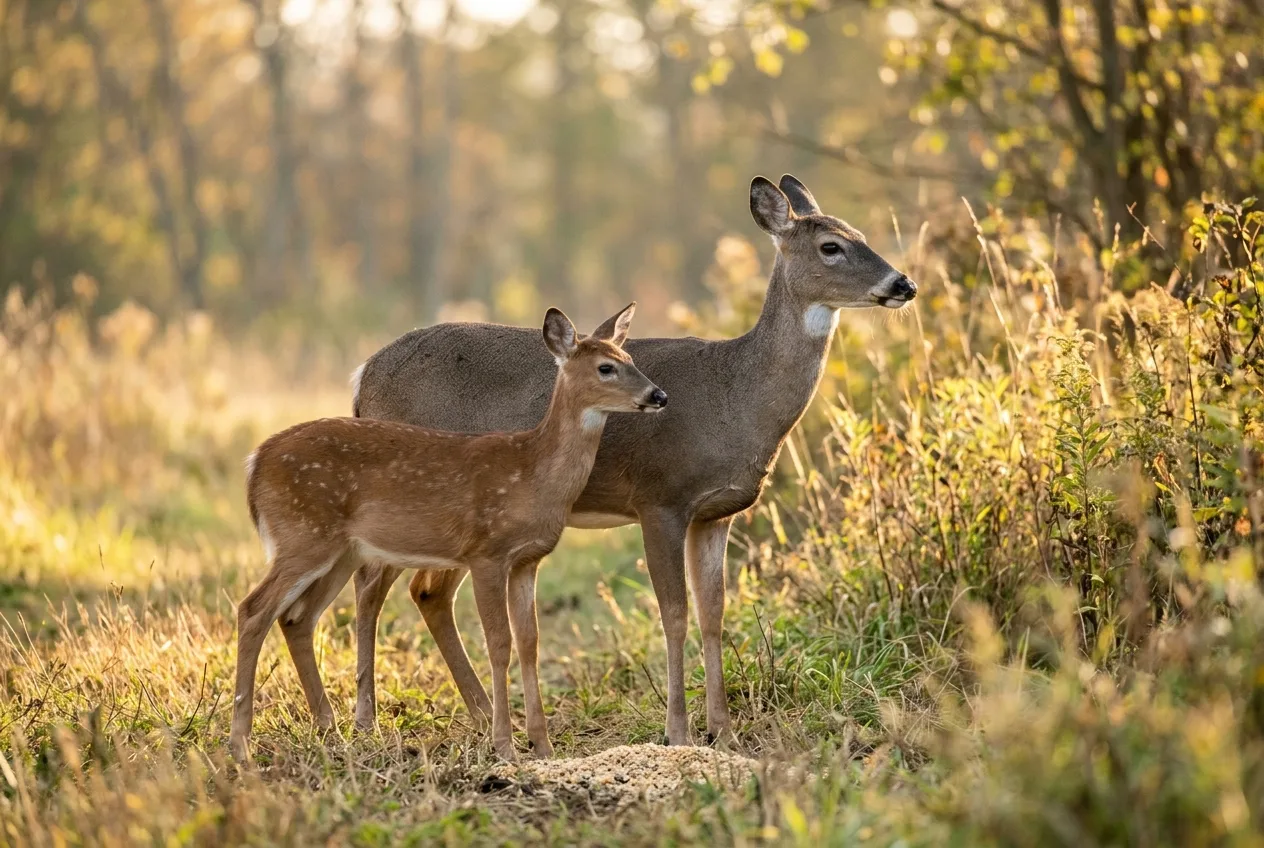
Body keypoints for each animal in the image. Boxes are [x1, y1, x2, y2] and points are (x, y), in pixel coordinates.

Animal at [231, 304, 664, 762]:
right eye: (606, 367)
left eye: (629, 358)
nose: (659, 396)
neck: (532, 472)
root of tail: (254, 462)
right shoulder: (487, 552)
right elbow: (499, 642)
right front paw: (504, 744)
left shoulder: (527, 560)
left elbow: (529, 642)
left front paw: (543, 744)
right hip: (303, 536)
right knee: (254, 609)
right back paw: (241, 743)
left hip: (339, 550)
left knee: (297, 616)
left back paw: (327, 727)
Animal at [350, 174, 918, 747]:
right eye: (831, 246)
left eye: (861, 233)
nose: (904, 284)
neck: (736, 396)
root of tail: (362, 374)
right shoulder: (659, 497)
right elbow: (674, 613)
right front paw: (678, 731)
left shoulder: (716, 514)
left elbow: (714, 614)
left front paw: (724, 731)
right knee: (371, 588)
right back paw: (366, 722)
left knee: (427, 592)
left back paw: (483, 715)